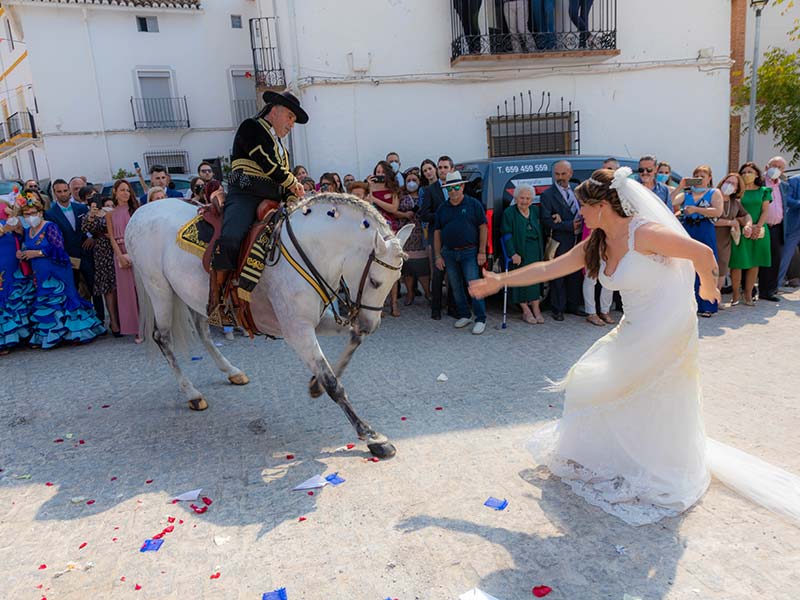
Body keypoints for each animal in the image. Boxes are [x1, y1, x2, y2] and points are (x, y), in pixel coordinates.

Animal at [126, 195, 412, 458]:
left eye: (397, 278)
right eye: (374, 281)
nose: (370, 325)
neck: (309, 251)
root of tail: (141, 211)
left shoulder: (319, 321)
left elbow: (352, 340)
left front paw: (315, 385)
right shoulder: (297, 330)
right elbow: (333, 382)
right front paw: (372, 436)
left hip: (196, 296)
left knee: (203, 331)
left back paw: (231, 370)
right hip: (159, 289)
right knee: (163, 338)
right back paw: (192, 393)